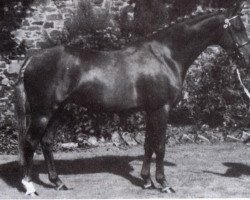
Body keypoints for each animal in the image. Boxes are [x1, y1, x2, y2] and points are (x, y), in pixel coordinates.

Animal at [15, 1, 250, 195]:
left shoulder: (150, 110)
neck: (166, 56)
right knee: (29, 142)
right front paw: (163, 183)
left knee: (46, 143)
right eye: (238, 27)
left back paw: (58, 182)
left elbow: (148, 145)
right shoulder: (162, 109)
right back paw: (29, 186)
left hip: (57, 111)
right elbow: (160, 146)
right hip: (43, 113)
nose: (247, 62)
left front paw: (146, 181)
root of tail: (33, 57)